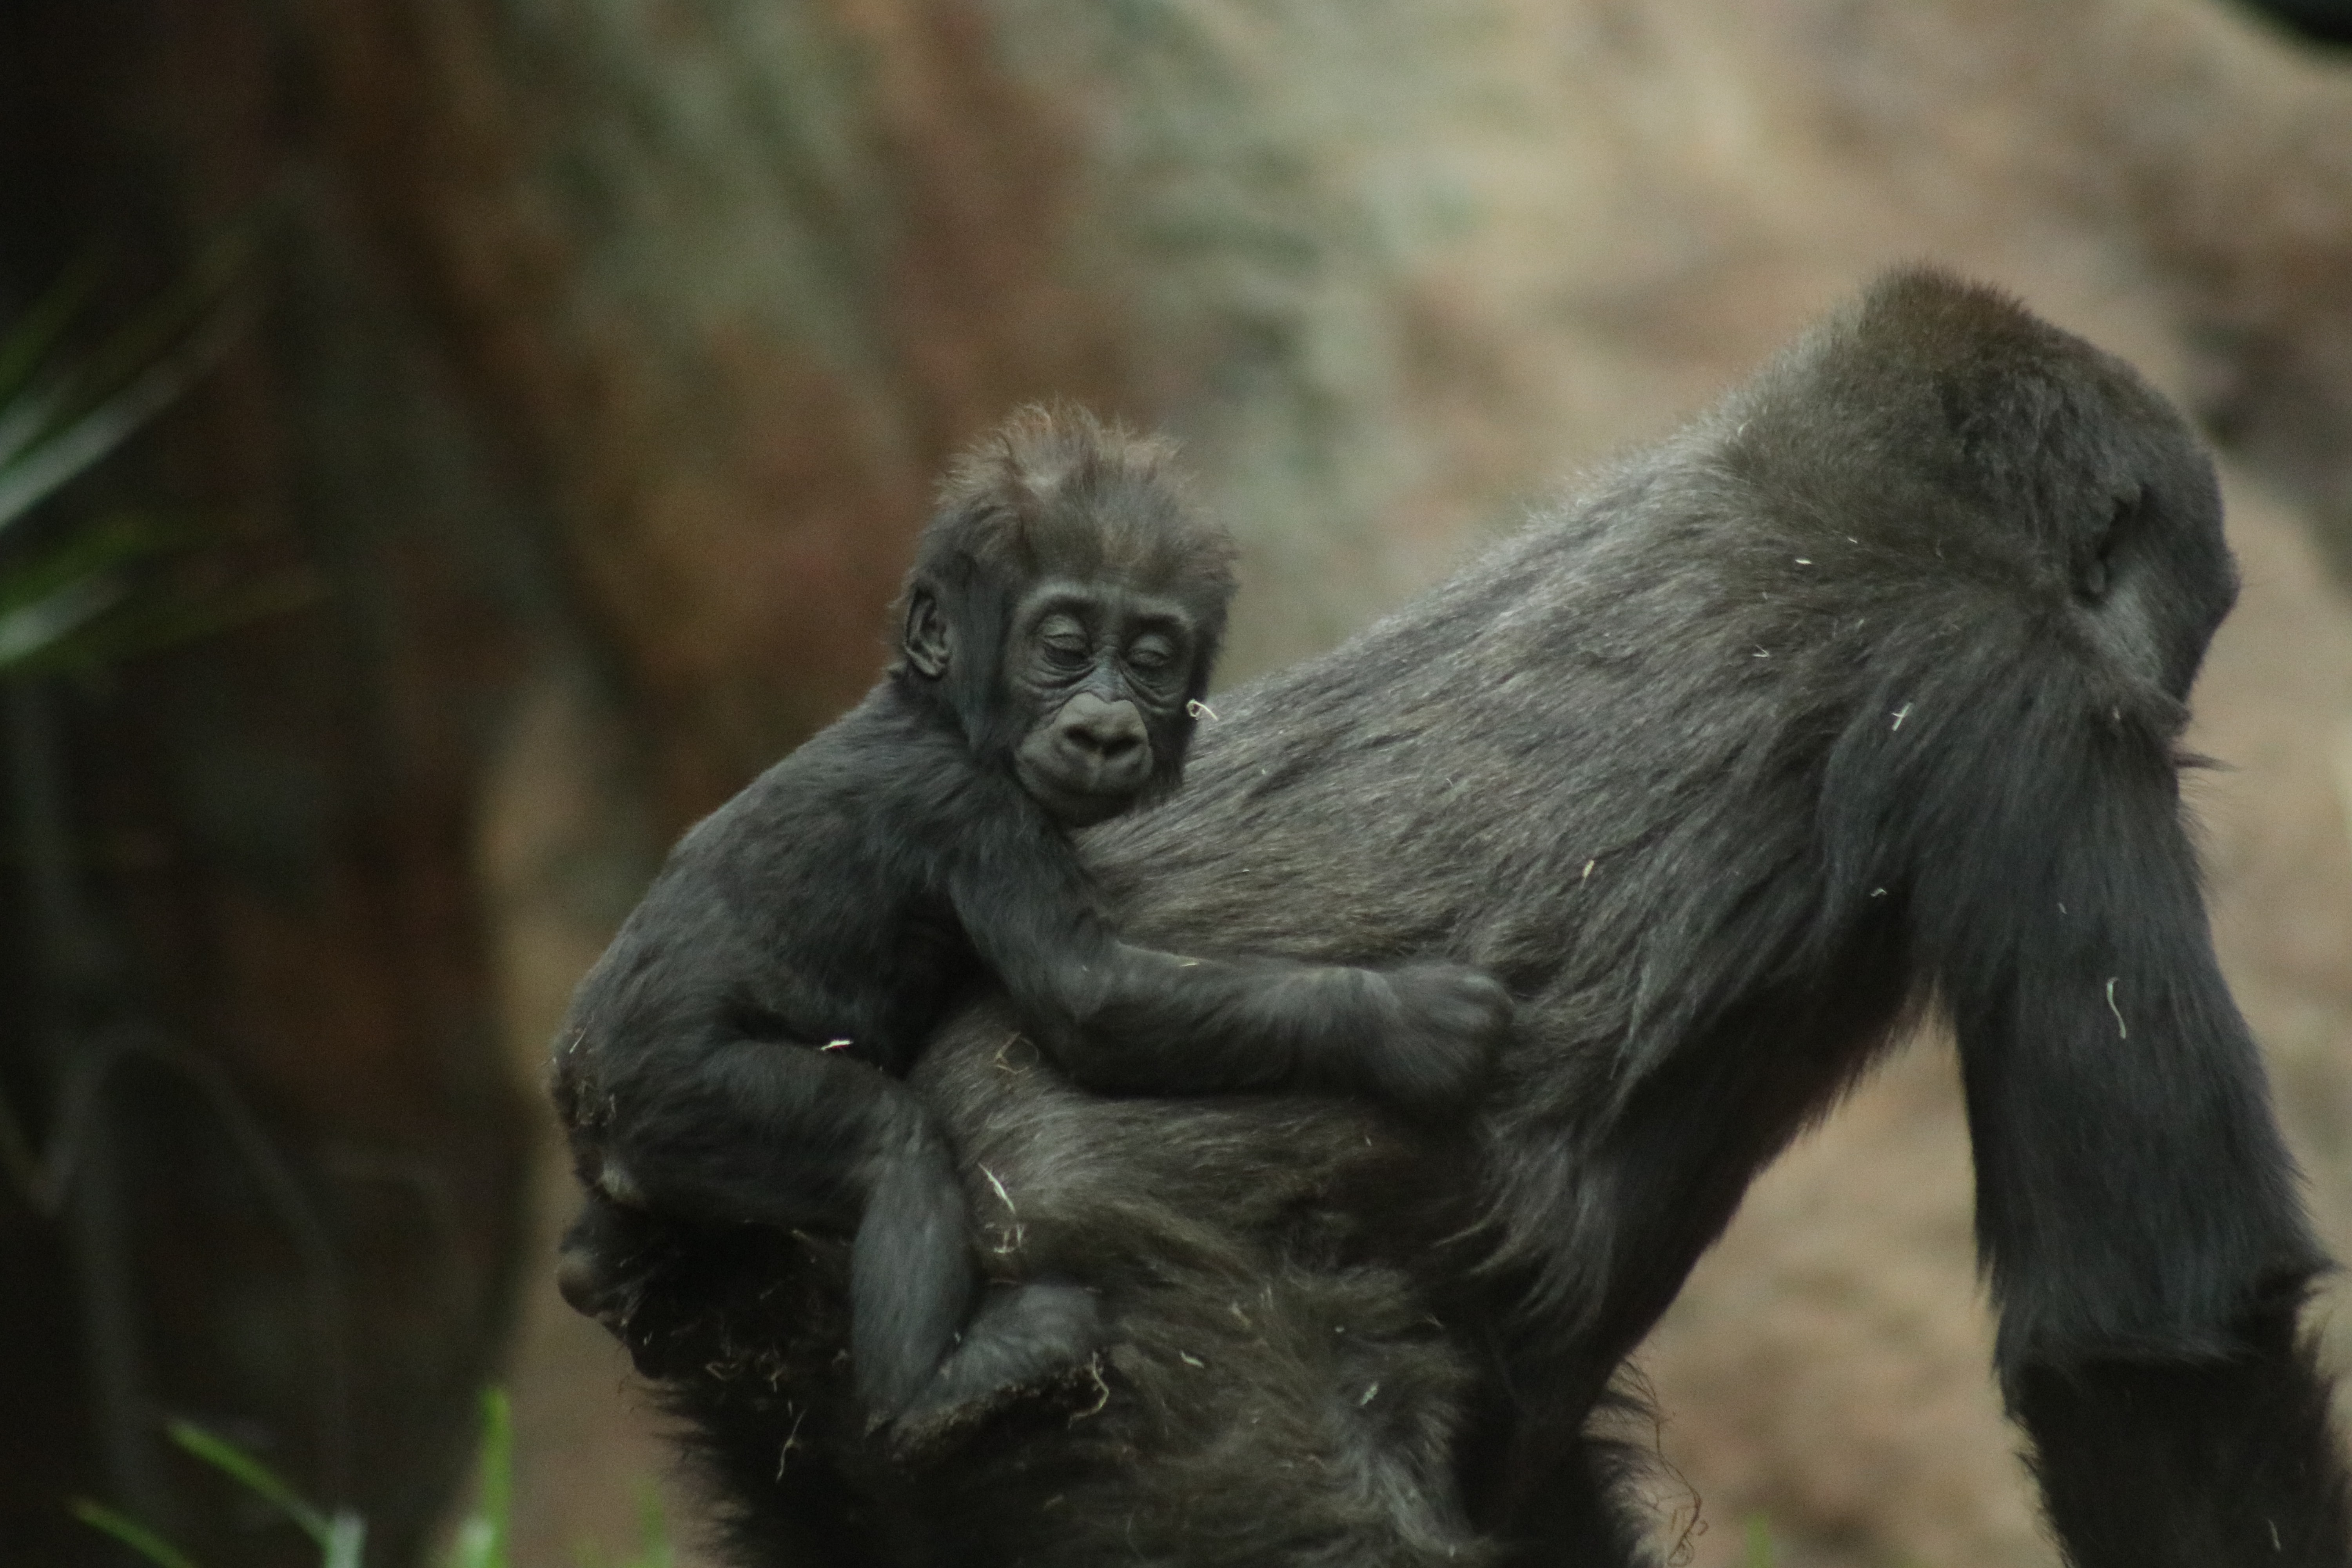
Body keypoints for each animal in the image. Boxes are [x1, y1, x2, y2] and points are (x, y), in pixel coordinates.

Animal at [547, 406, 1513, 1451]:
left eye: (1151, 658)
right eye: (1064, 646)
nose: (1103, 729)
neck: (938, 710)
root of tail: (580, 1089)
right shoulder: (974, 811)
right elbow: (1089, 995)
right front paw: (1405, 1020)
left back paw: (600, 1266)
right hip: (677, 1094)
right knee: (884, 1141)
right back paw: (933, 1385)